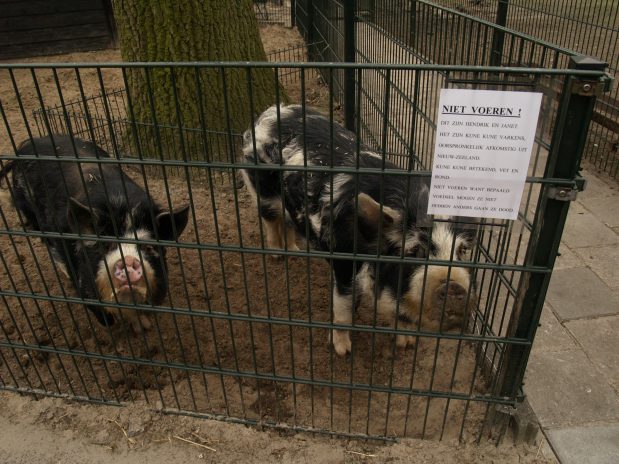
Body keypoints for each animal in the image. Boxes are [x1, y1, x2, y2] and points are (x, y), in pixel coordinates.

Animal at [0, 136, 189, 332]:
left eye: (148, 247)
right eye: (105, 245)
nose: (128, 260)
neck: (122, 206)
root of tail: (27, 144)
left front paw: (145, 327)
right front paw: (113, 325)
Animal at [240, 106, 478, 356]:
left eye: (462, 251)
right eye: (416, 251)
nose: (454, 285)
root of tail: (270, 113)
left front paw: (406, 344)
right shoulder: (344, 260)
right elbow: (343, 309)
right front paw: (343, 351)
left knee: (287, 223)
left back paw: (295, 251)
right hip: (262, 190)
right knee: (270, 219)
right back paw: (277, 254)